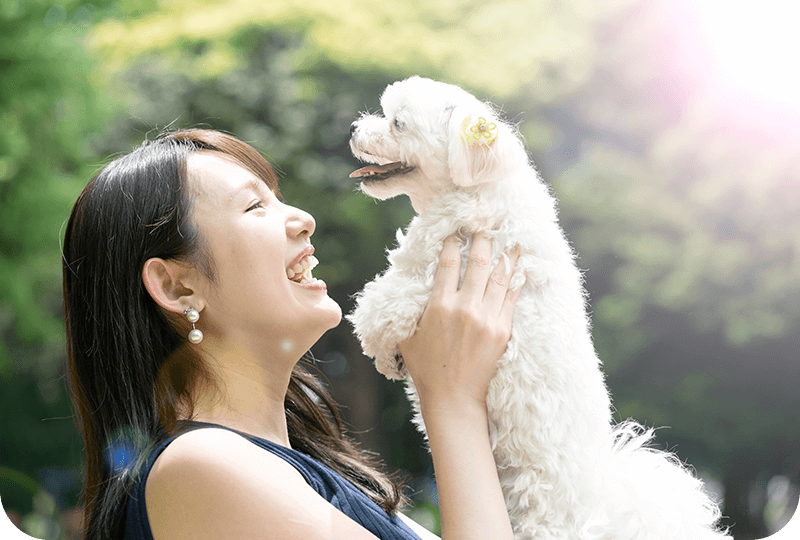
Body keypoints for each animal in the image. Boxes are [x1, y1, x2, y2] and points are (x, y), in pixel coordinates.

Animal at [346, 77, 728, 540]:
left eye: (398, 123)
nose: (353, 129)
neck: (475, 191)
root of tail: (602, 512)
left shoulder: (441, 280)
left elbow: (382, 304)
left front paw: (382, 348)